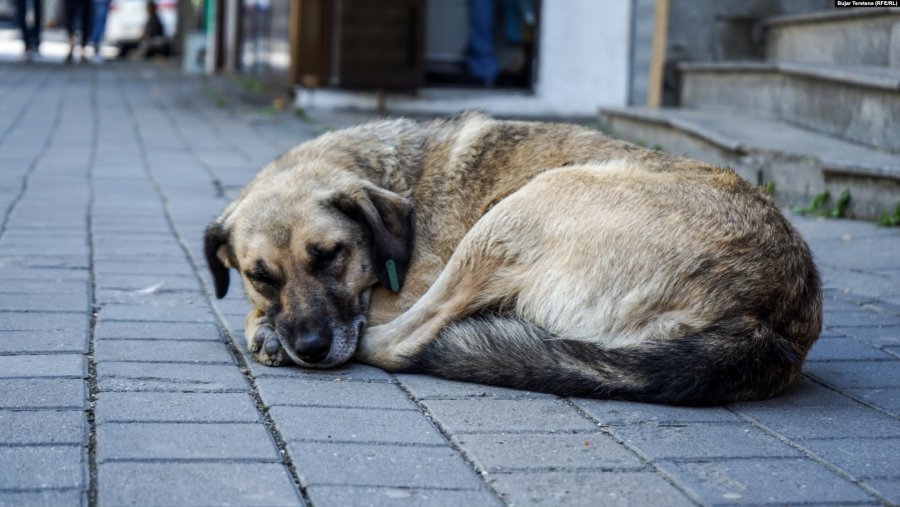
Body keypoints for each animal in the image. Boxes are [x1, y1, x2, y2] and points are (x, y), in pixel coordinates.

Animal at [204, 111, 824, 404]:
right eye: (260, 275)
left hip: (523, 208)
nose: (310, 348)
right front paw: (267, 322)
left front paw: (264, 329)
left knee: (404, 342)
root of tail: (772, 322)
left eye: (331, 255)